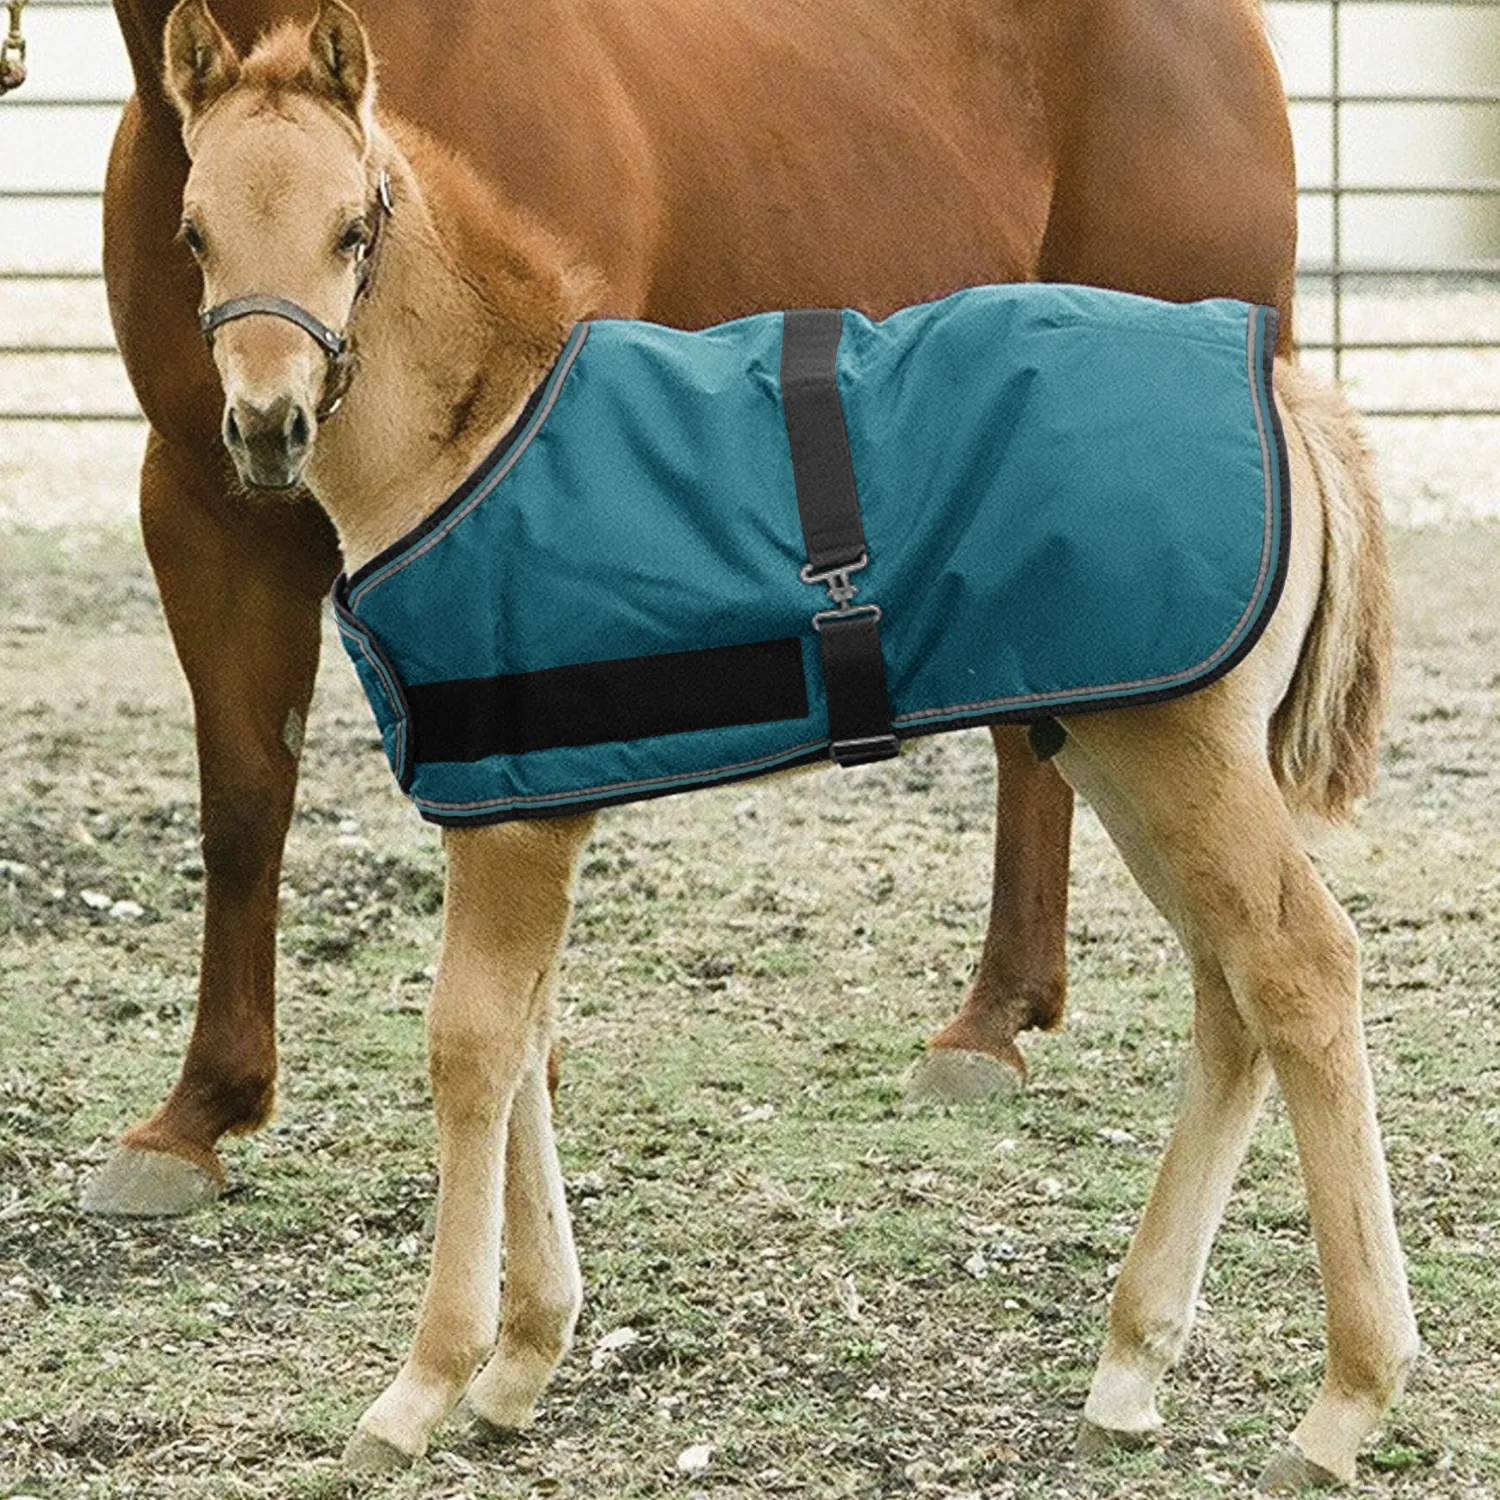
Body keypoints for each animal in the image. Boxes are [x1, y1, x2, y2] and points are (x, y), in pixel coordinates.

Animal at [162, 3, 1417, 1487]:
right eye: (193, 231)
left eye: (353, 229)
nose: (266, 429)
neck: (477, 435)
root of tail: (1288, 395)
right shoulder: (523, 806)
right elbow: (528, 1040)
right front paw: (524, 1361)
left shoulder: (515, 822)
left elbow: (471, 1048)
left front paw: (423, 1385)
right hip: (1123, 748)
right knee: (1232, 990)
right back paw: (1131, 1365)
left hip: (1184, 755)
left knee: (1301, 968)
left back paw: (1344, 1403)